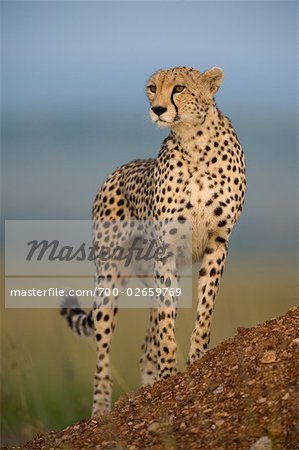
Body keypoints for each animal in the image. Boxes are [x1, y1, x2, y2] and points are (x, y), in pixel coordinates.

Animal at [60, 67, 246, 418]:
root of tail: (117, 170)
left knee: (147, 340)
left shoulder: (217, 243)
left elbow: (204, 309)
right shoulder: (167, 251)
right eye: (151, 87)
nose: (158, 109)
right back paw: (102, 409)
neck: (194, 143)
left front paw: (198, 358)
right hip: (109, 277)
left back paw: (148, 385)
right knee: (104, 352)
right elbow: (166, 324)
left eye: (179, 88)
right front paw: (169, 373)